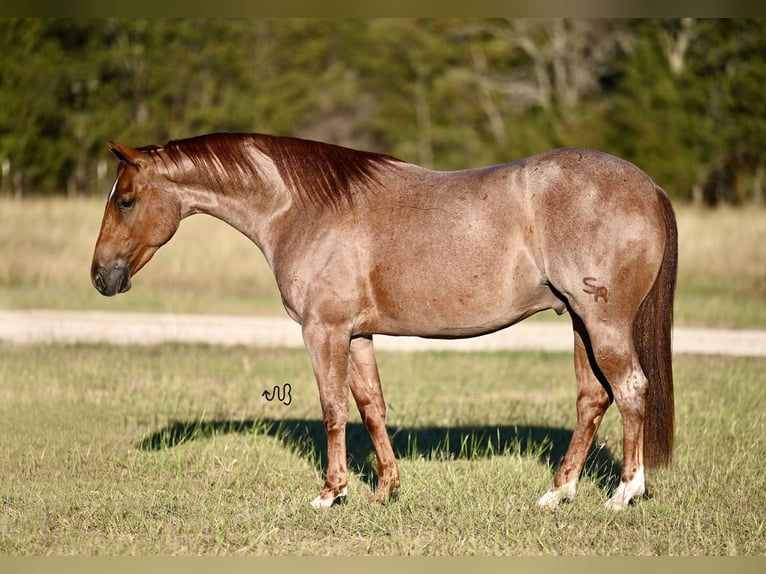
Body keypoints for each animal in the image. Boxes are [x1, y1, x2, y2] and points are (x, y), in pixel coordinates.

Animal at [91, 133, 680, 510]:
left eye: (125, 200)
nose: (101, 276)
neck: (303, 208)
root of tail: (649, 187)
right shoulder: (356, 335)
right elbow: (371, 407)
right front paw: (384, 490)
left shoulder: (323, 330)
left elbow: (332, 409)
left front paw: (331, 493)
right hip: (579, 321)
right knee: (593, 399)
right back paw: (557, 493)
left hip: (603, 325)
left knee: (631, 389)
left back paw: (625, 493)